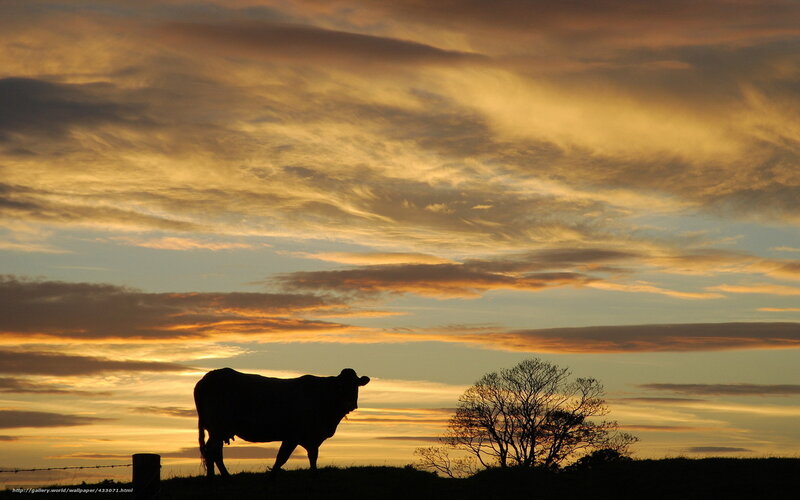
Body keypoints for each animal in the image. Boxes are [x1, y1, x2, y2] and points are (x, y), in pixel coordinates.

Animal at [194, 367, 370, 478]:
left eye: (356, 386)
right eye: (340, 386)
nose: (350, 404)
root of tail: (207, 377)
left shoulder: (312, 437)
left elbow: (313, 456)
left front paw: (314, 475)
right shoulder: (293, 435)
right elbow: (282, 457)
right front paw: (272, 476)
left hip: (217, 430)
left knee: (213, 451)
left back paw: (216, 477)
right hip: (218, 427)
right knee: (213, 450)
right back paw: (220, 477)